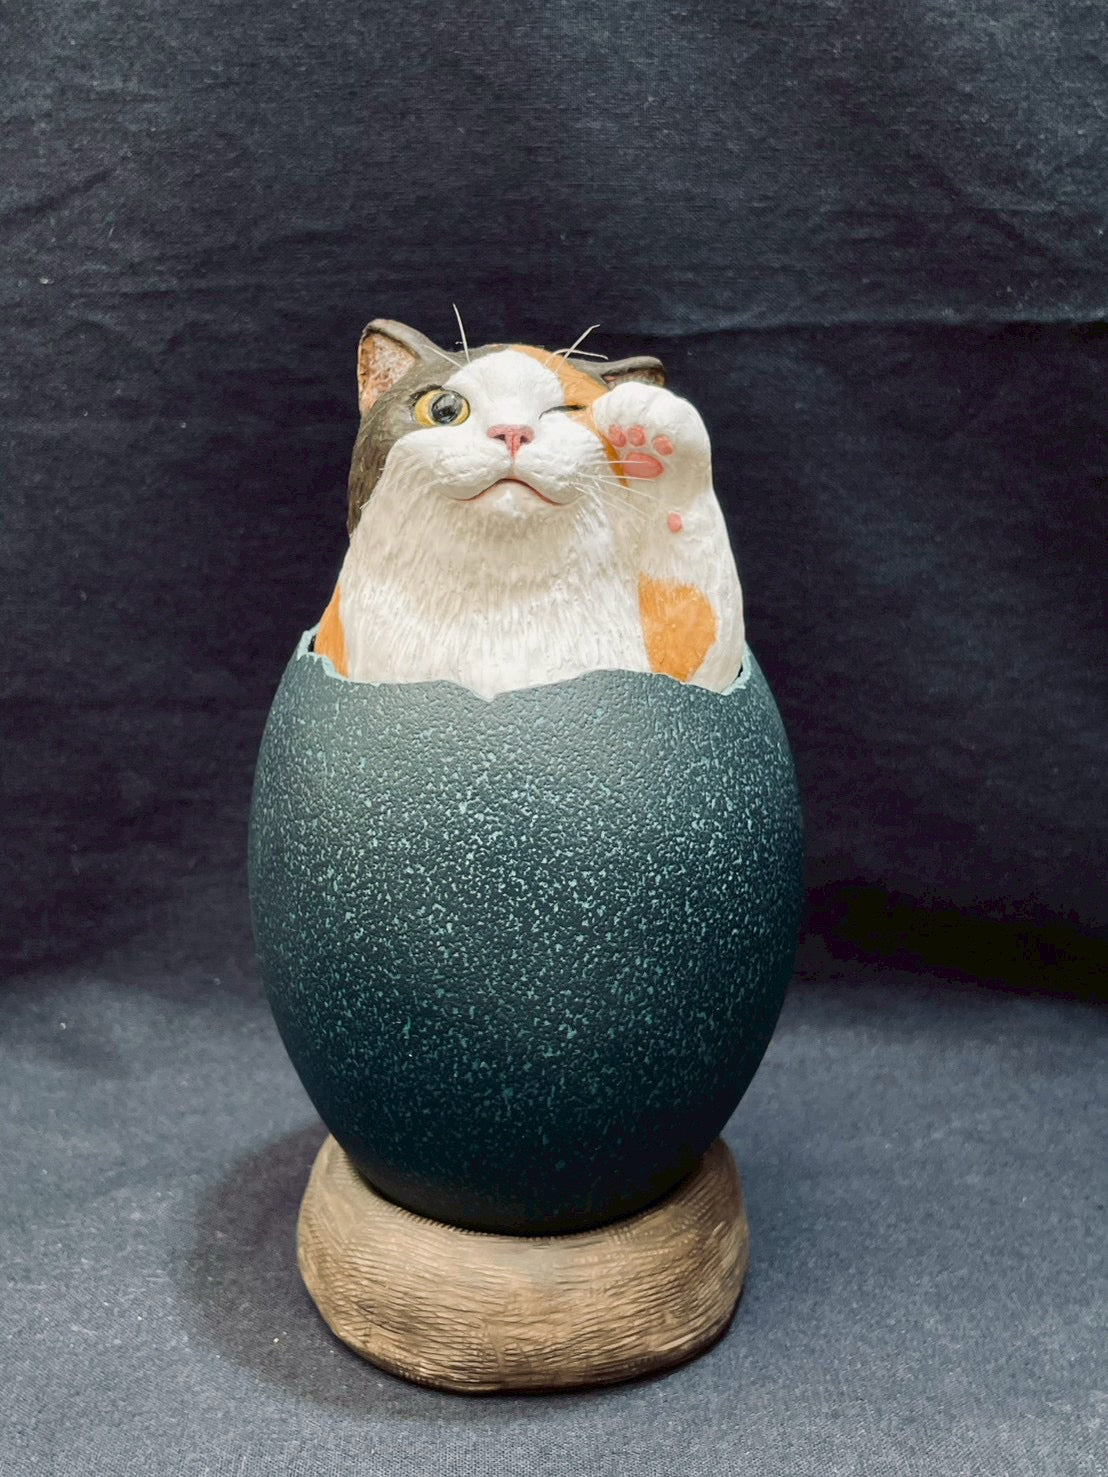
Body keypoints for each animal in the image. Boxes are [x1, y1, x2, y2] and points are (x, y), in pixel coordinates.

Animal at [314, 319, 745, 699]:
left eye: (568, 412)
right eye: (443, 407)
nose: (512, 432)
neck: (500, 606)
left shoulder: (692, 656)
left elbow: (705, 607)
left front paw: (649, 422)